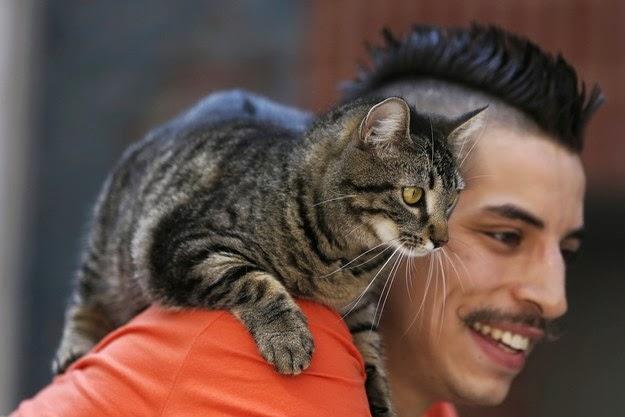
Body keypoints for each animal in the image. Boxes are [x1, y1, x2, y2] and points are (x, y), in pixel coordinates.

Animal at [53, 96, 482, 414]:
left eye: (453, 201)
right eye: (413, 195)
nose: (442, 240)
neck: (349, 259)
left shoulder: (359, 310)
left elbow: (372, 353)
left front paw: (378, 398)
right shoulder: (182, 243)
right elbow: (252, 280)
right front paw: (287, 337)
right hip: (109, 249)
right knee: (84, 297)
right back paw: (75, 345)